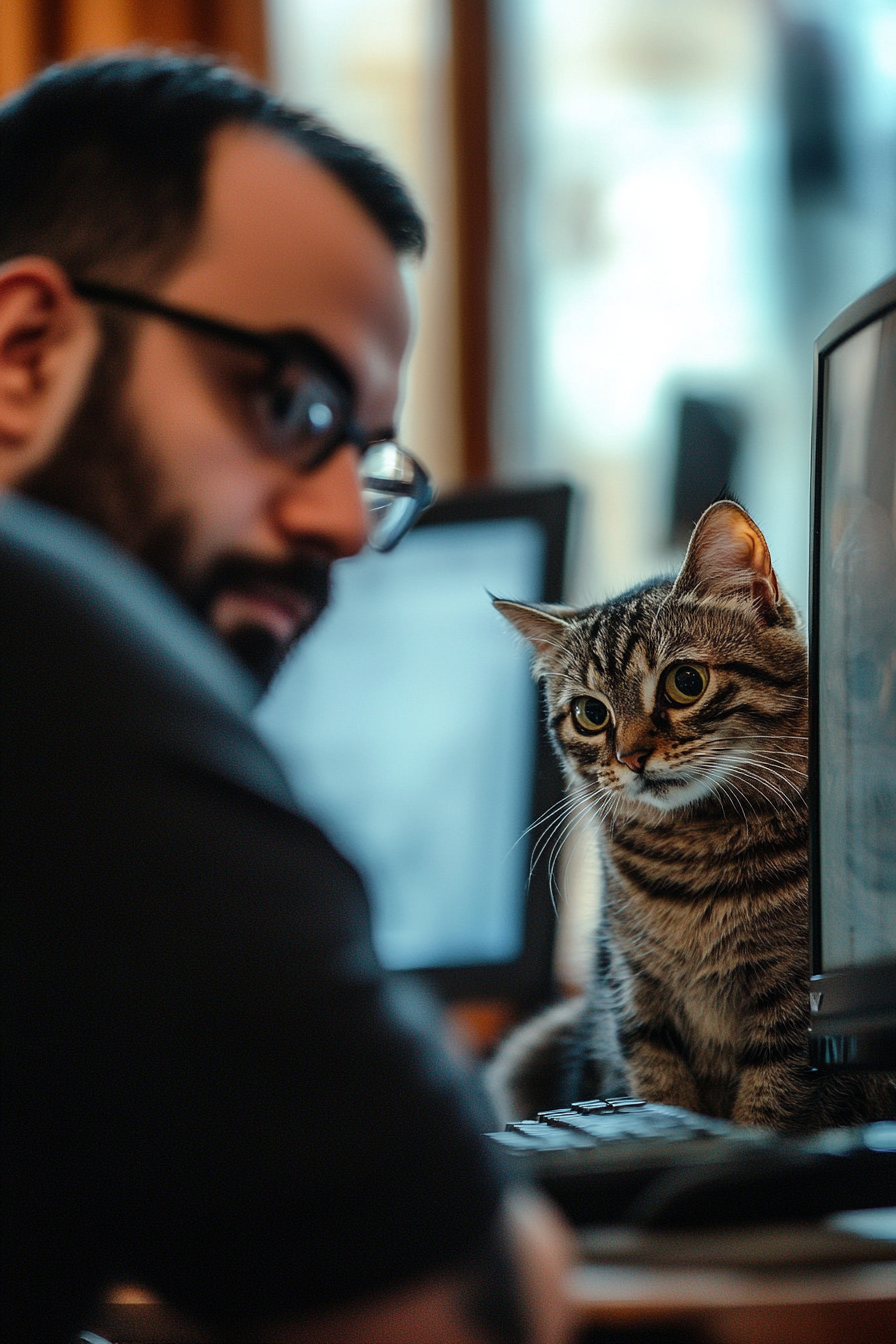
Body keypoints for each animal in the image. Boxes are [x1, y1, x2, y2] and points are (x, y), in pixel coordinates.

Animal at [491, 505, 896, 1134]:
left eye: (686, 682)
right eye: (590, 714)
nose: (631, 756)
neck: (694, 854)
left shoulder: (791, 1009)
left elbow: (770, 1108)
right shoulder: (638, 1000)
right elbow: (660, 1090)